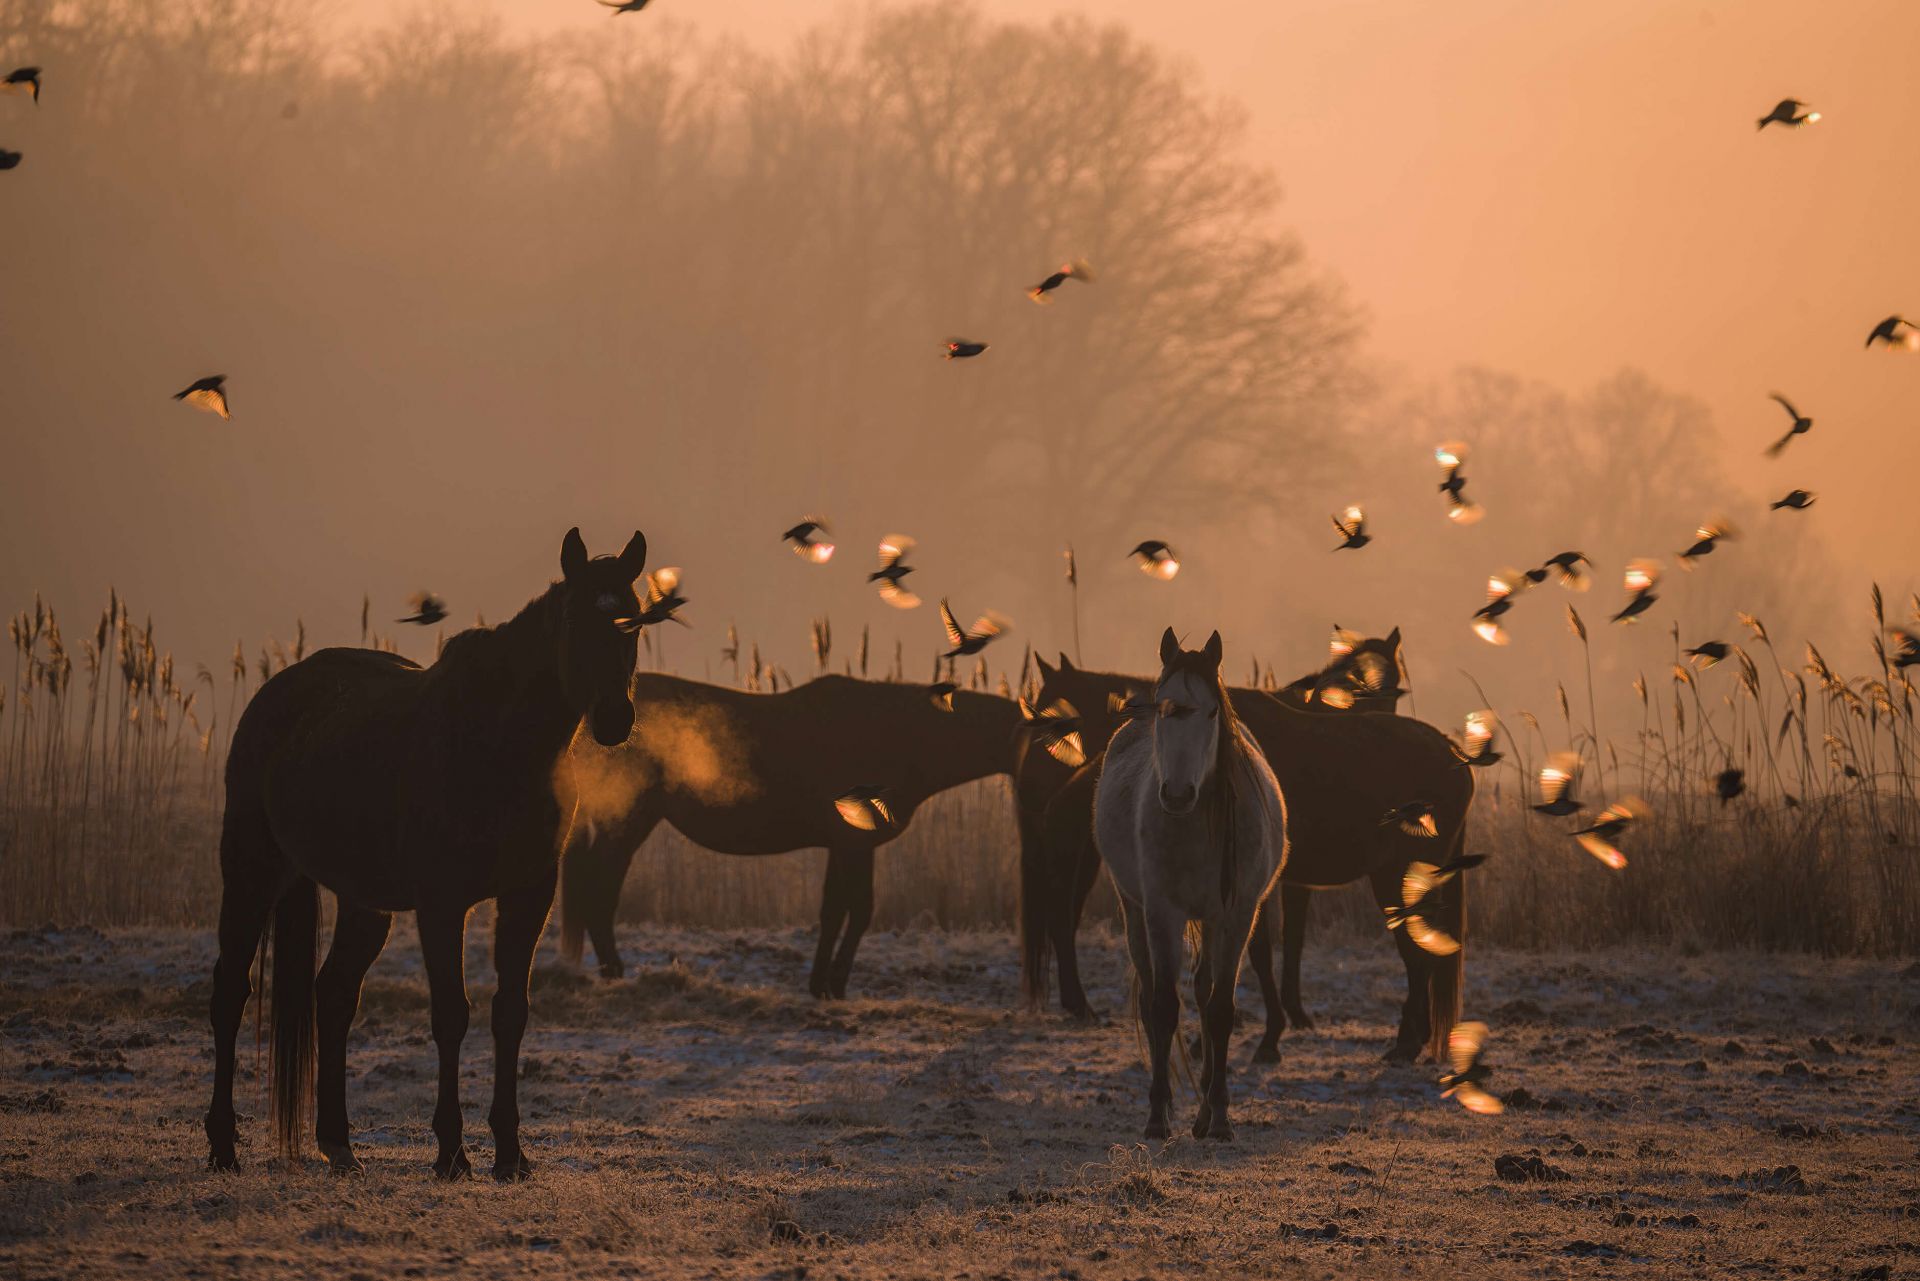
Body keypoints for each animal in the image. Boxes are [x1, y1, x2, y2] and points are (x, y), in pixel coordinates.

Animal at [204, 527, 649, 1180]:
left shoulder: (529, 895)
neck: (498, 744)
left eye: (635, 620)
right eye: (573, 618)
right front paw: (452, 1153)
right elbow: (451, 1015)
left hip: (363, 902)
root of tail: (276, 694)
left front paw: (510, 1155)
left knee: (334, 994)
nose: (615, 718)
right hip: (251, 872)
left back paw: (339, 1145)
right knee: (231, 992)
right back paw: (222, 1146)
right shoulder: (443, 903)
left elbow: (510, 1012)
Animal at [557, 673, 1023, 996]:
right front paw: (833, 985)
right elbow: (857, 910)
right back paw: (613, 971)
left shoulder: (846, 845)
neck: (898, 736)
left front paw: (821, 984)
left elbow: (837, 909)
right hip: (627, 817)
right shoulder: (854, 844)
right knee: (598, 887)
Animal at [1021, 644, 1469, 1064]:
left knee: (1417, 955)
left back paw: (1406, 1043)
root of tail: (1457, 758)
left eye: (1054, 720)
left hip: (1396, 877)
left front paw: (1265, 1039)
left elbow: (1258, 955)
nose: (1029, 780)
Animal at [1096, 628, 1287, 1140]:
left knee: (1204, 993)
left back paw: (1202, 1113)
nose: (1178, 795)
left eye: (1213, 711)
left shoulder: (1236, 916)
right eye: (1163, 706)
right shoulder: (1163, 913)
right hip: (1135, 912)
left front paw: (1218, 1115)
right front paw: (1157, 1116)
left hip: (1213, 921)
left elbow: (1220, 1010)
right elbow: (1164, 1007)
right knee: (1150, 1000)